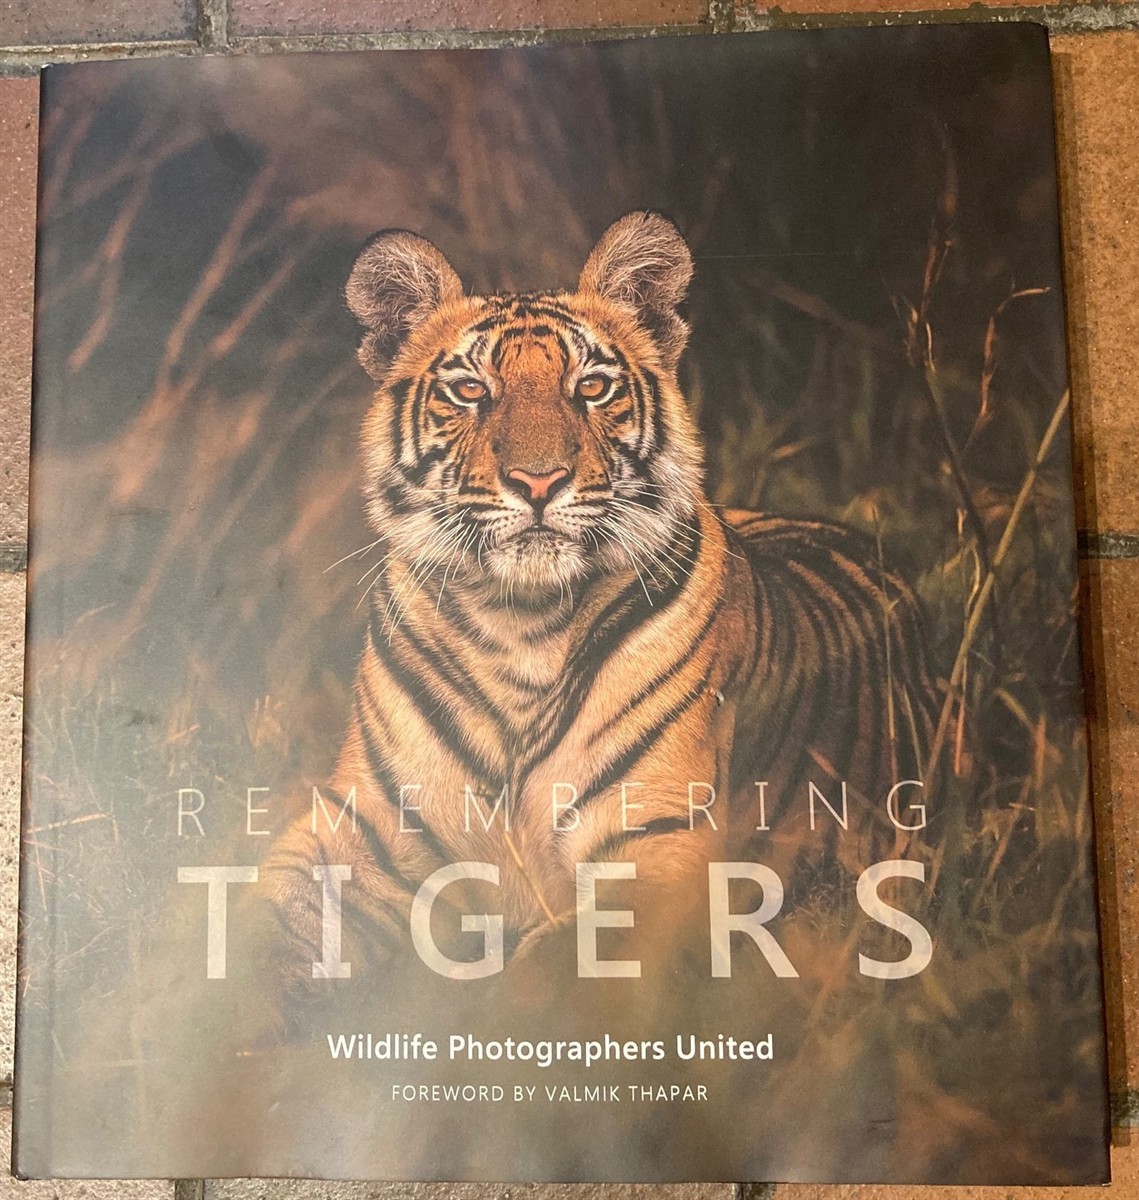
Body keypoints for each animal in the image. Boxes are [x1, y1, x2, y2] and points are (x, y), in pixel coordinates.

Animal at [258, 210, 937, 992]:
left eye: (592, 386)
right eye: (470, 391)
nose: (538, 480)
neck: (516, 625)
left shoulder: (655, 846)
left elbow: (546, 979)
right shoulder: (357, 829)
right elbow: (255, 936)